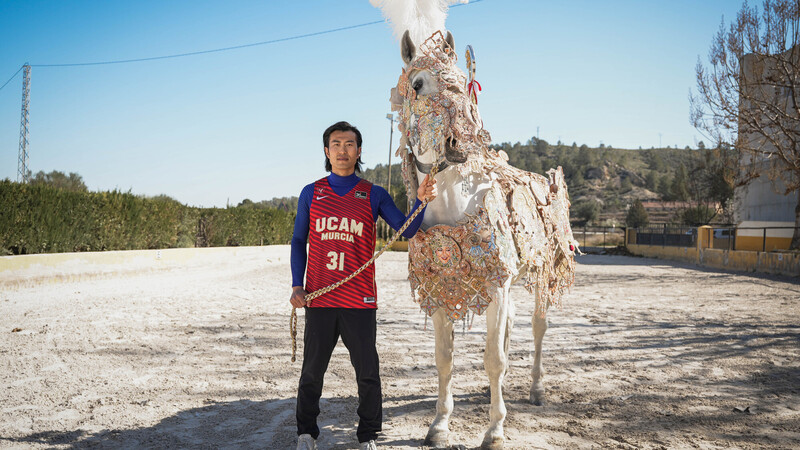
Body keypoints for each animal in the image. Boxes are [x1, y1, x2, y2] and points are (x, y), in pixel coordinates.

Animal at [390, 29, 580, 448]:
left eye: (465, 84)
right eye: (417, 84)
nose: (459, 143)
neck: (452, 204)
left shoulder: (497, 284)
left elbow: (493, 358)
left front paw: (494, 430)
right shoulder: (440, 289)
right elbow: (445, 358)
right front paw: (440, 424)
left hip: (539, 274)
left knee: (538, 327)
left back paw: (535, 389)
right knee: (509, 329)